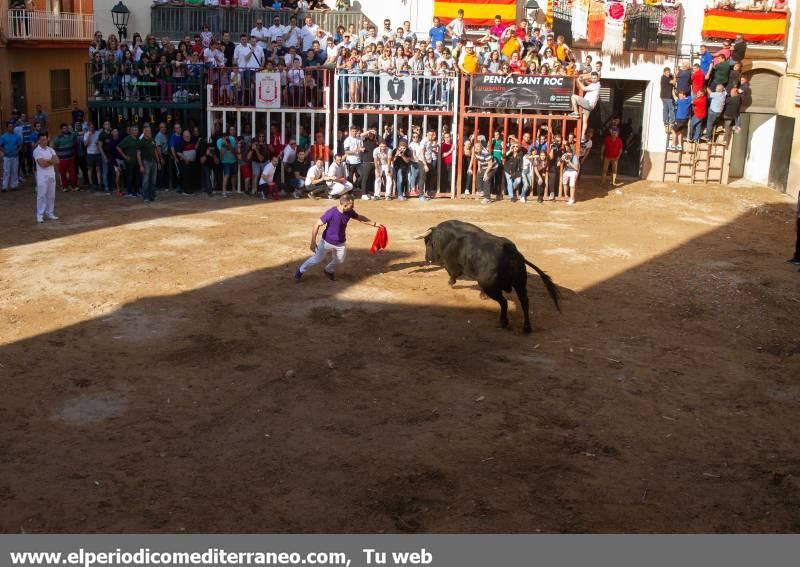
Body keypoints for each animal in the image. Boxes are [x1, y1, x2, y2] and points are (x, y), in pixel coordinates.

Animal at [416, 221, 560, 336]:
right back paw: (526, 328)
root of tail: (512, 253)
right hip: (520, 283)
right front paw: (482, 295)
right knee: (524, 302)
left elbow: (451, 273)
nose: (426, 258)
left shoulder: (451, 264)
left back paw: (503, 323)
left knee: (504, 302)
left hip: (493, 287)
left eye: (427, 242)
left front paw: (451, 282)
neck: (448, 238)